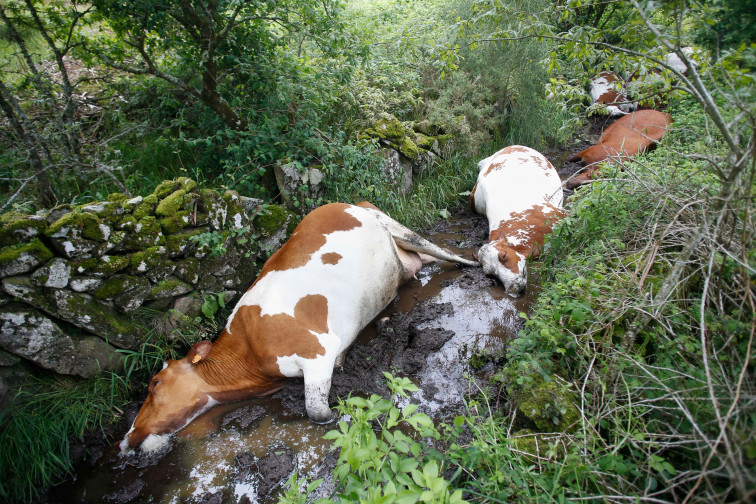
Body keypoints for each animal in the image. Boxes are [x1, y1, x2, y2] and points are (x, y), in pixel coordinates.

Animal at [119, 202, 478, 453]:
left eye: (154, 383)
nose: (126, 437)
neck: (248, 358)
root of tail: (342, 202)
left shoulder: (318, 350)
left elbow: (317, 412)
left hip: (394, 226)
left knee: (442, 250)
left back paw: (475, 264)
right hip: (402, 259)